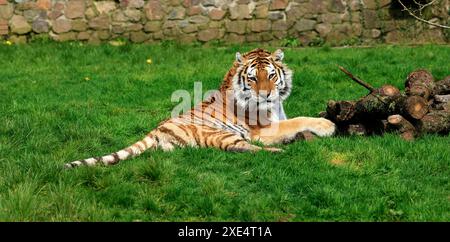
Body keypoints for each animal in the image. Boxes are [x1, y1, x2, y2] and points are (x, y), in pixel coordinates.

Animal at [65, 47, 336, 168]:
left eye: (270, 75)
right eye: (252, 78)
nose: (266, 94)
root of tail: (156, 129)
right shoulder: (263, 129)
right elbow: (299, 120)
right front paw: (328, 125)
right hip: (220, 134)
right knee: (245, 148)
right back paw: (280, 152)